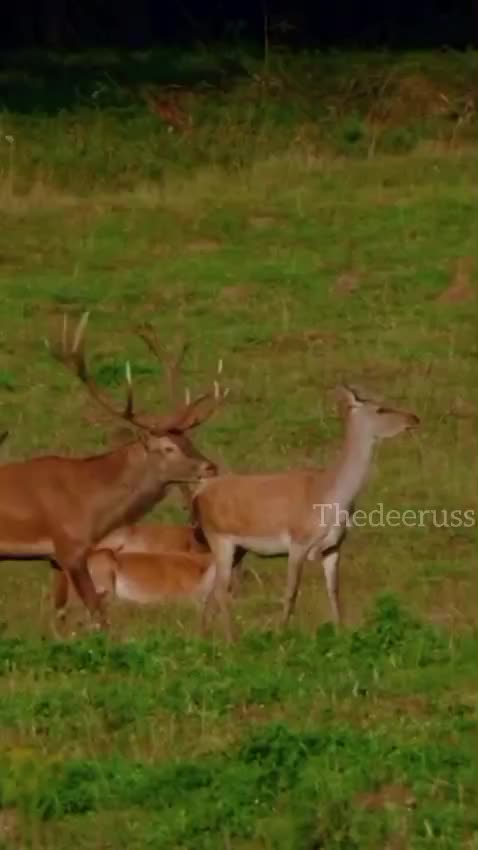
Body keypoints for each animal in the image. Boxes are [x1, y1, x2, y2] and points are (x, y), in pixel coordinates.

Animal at [0, 312, 228, 633]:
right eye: (168, 447)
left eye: (188, 440)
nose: (211, 467)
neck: (88, 503)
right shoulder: (70, 548)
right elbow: (98, 613)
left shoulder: (56, 559)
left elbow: (61, 614)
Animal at [192, 385, 420, 640]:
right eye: (381, 409)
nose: (414, 418)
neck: (330, 498)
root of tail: (199, 493)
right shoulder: (298, 542)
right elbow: (291, 592)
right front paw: (281, 635)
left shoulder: (334, 546)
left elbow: (334, 592)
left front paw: (340, 632)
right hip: (219, 539)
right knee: (220, 590)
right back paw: (232, 640)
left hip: (236, 549)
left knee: (208, 590)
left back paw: (204, 638)